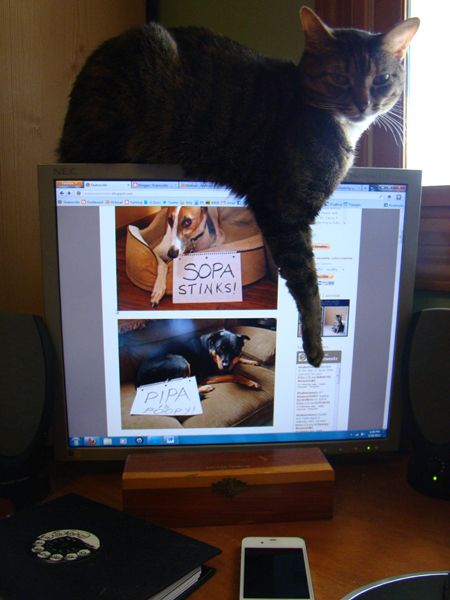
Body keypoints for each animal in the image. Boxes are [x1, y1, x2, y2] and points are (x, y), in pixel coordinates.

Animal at [58, 8, 420, 366]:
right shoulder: (285, 211)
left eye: (382, 79)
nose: (363, 103)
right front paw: (315, 346)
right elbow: (307, 282)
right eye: (339, 78)